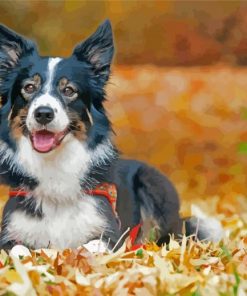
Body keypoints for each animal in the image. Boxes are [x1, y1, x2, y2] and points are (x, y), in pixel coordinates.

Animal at [0, 19, 222, 251]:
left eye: (69, 90)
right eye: (29, 87)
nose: (43, 113)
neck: (54, 165)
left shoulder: (111, 235)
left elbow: (88, 247)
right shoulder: (8, 235)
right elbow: (20, 250)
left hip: (153, 183)